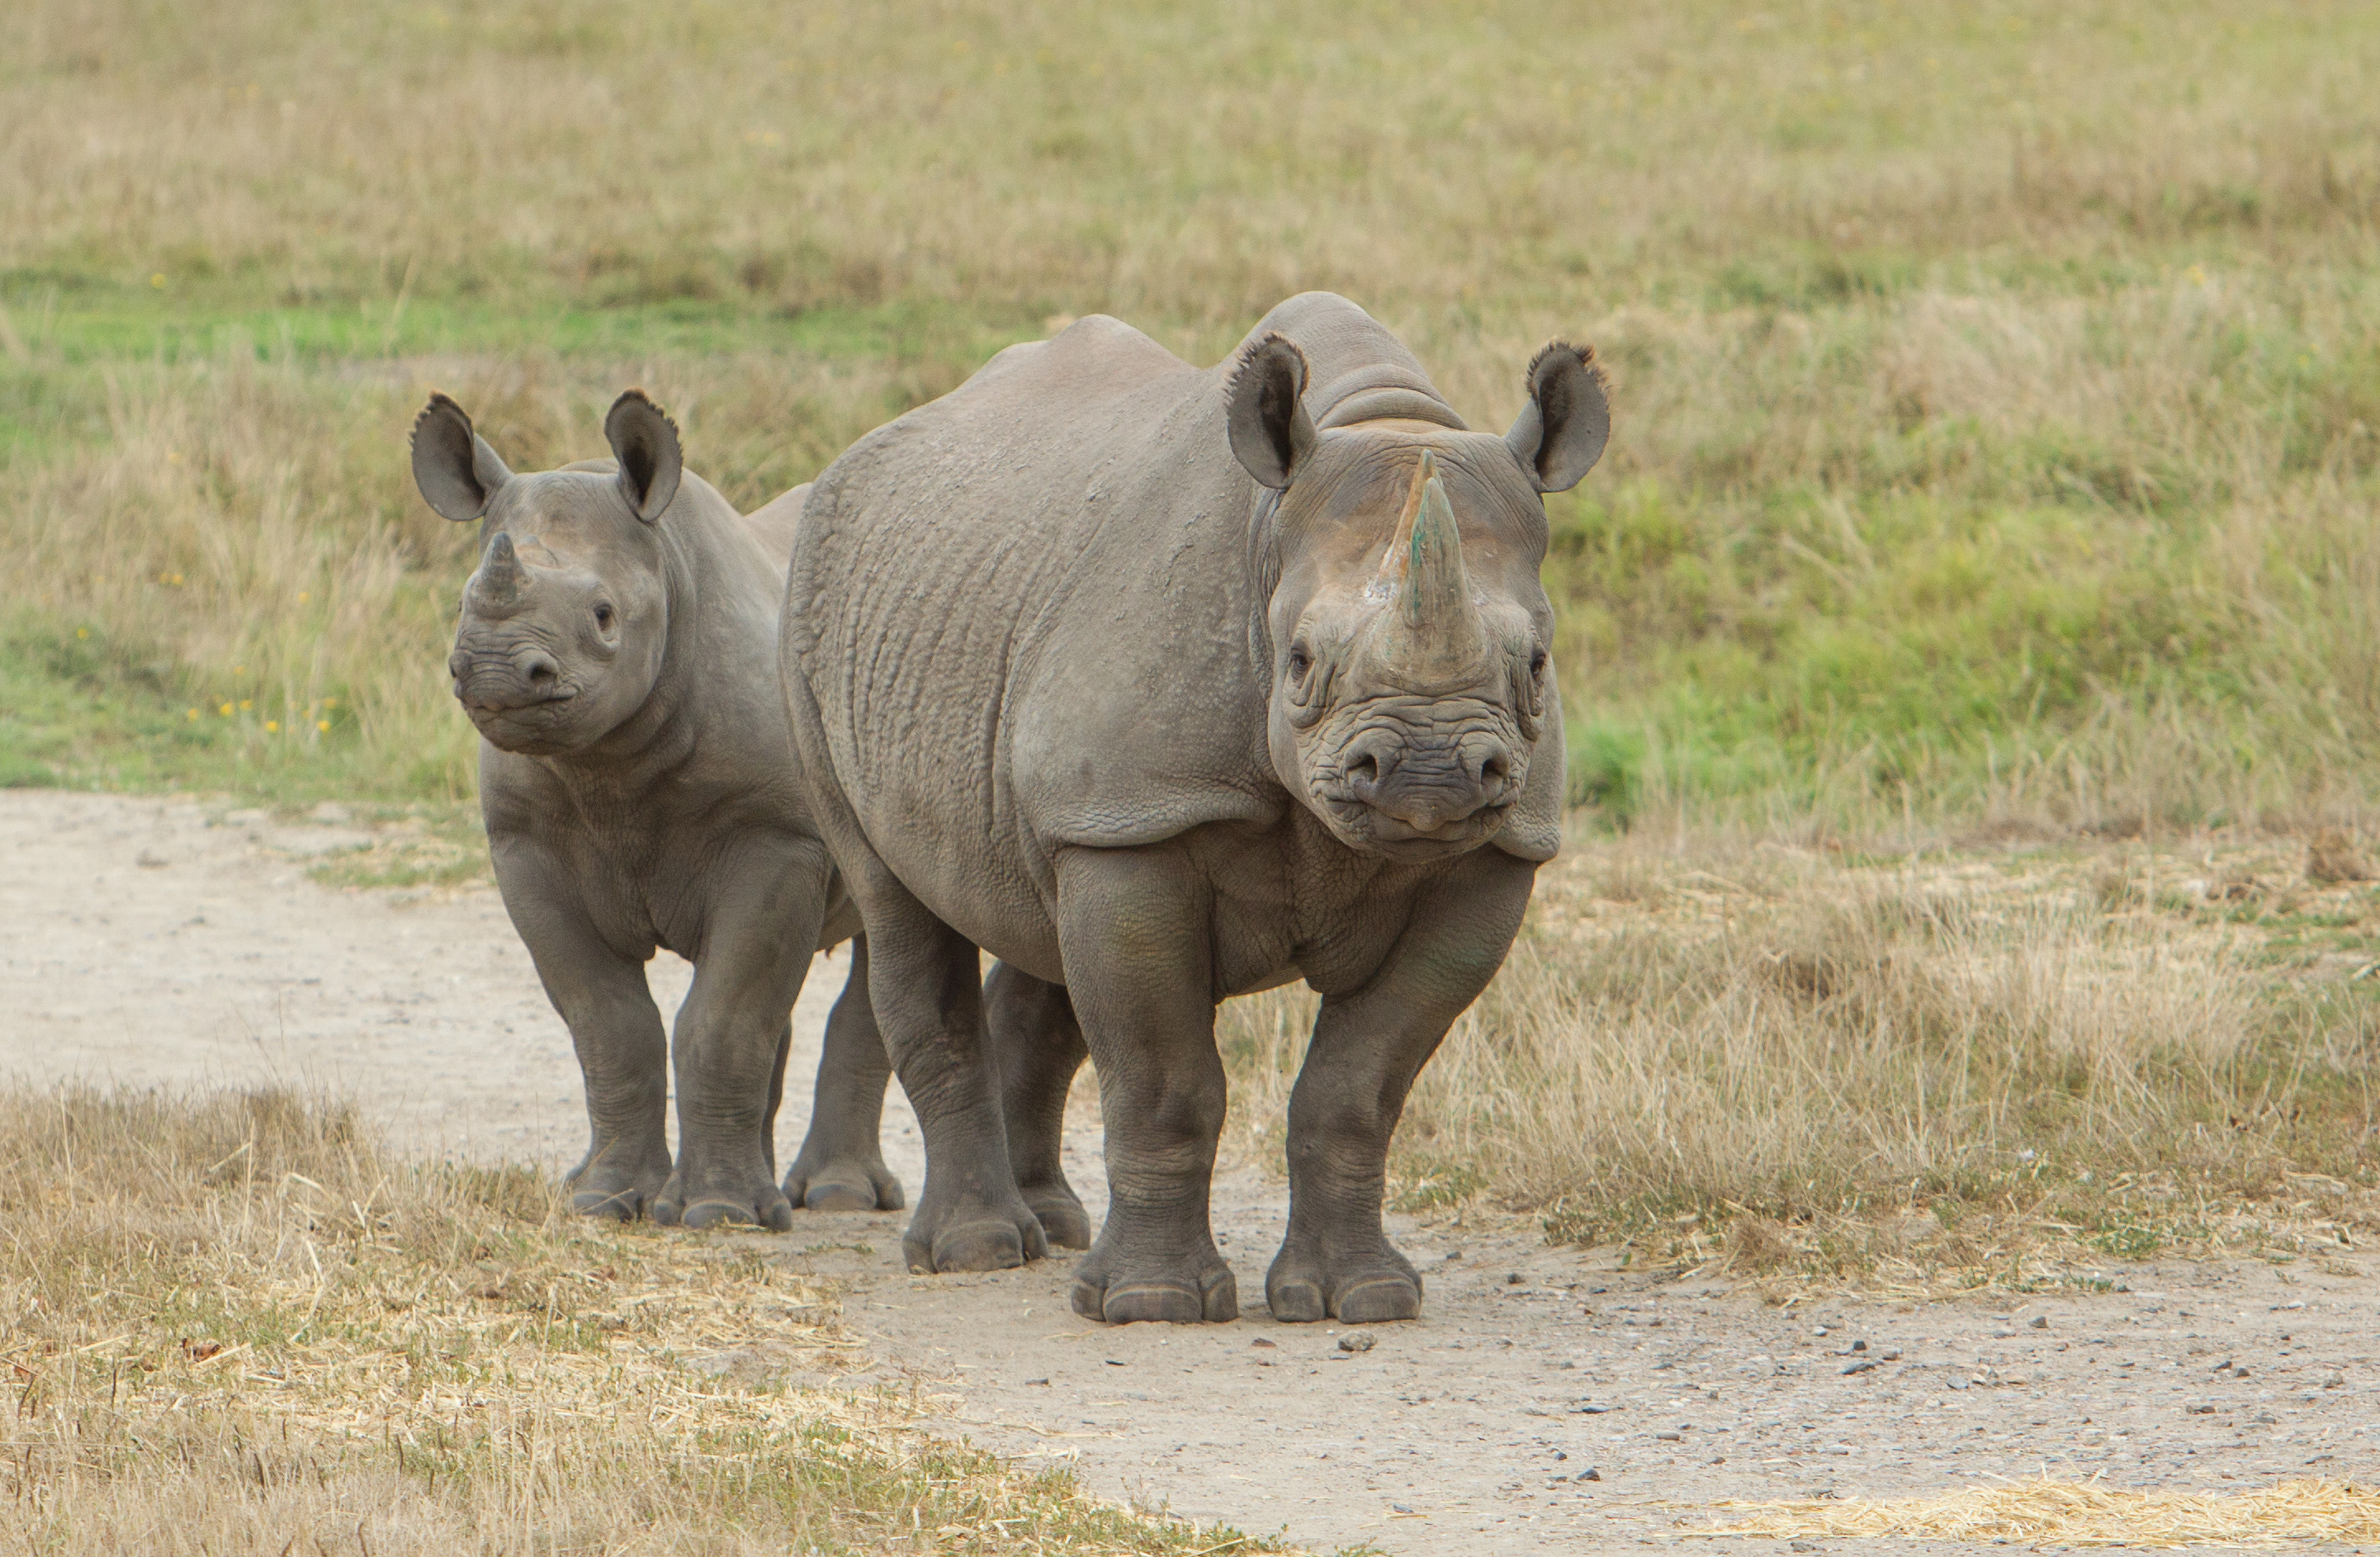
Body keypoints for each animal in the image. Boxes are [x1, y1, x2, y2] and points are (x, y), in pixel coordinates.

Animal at [409, 390, 899, 1228]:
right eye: (465, 603)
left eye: (604, 616)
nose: (495, 673)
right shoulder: (524, 848)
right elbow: (609, 1024)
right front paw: (607, 1201)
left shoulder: (777, 837)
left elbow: (723, 1018)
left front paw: (717, 1214)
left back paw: (833, 1199)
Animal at [790, 296, 1608, 1332]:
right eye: (1299, 662)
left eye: (1536, 663)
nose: (1430, 773)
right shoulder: (1140, 817)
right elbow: (1163, 1078)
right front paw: (1151, 1304)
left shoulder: (1494, 856)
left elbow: (1358, 1088)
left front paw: (1363, 1298)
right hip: (814, 629)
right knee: (898, 904)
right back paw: (977, 1251)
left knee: (1040, 922)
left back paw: (1054, 1228)